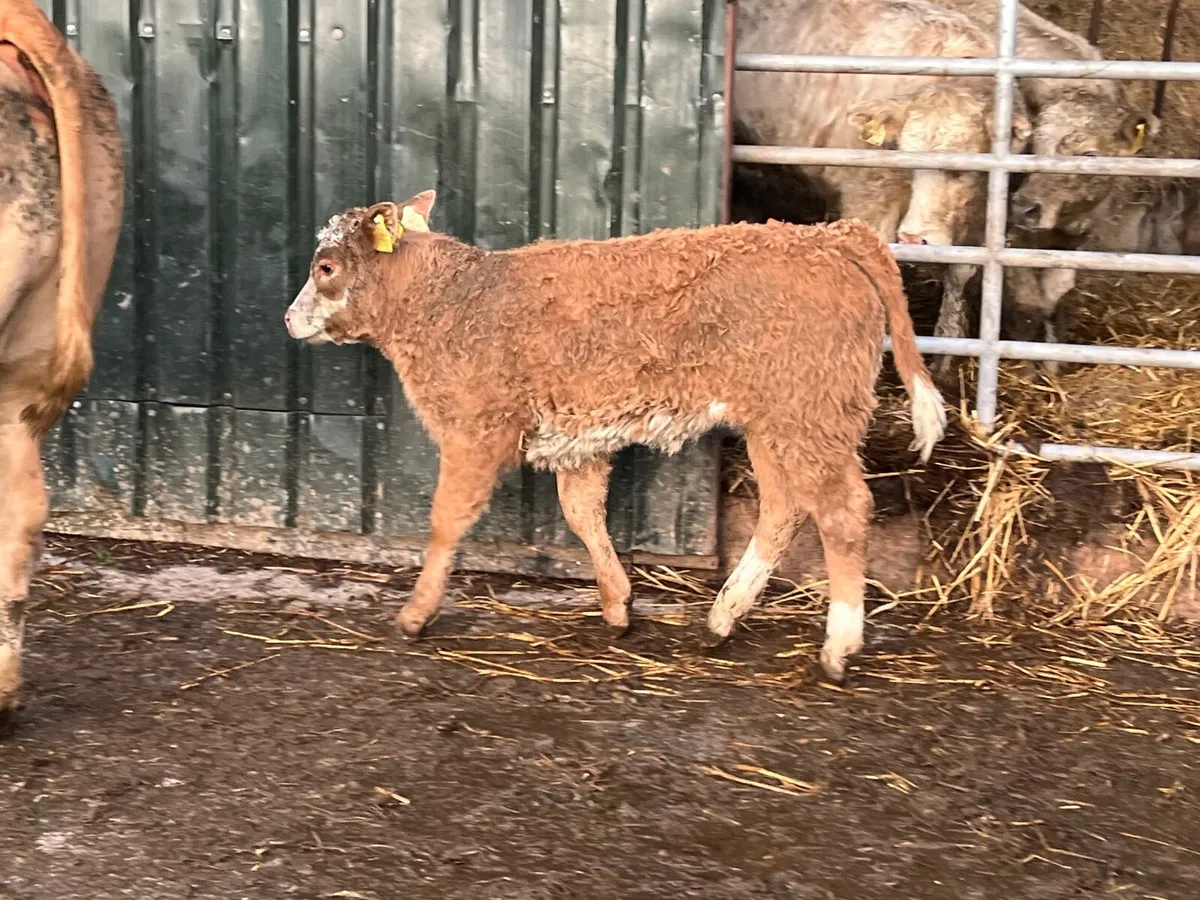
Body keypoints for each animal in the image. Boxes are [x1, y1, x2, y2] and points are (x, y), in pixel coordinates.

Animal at [284, 191, 947, 683]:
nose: (288, 318)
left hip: (810, 412)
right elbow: (583, 515)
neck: (451, 302)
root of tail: (830, 237)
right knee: (785, 507)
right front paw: (617, 604)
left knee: (842, 511)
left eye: (326, 267)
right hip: (780, 420)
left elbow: (447, 520)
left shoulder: (476, 429)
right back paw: (723, 618)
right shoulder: (580, 437)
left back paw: (838, 646)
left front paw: (416, 615)